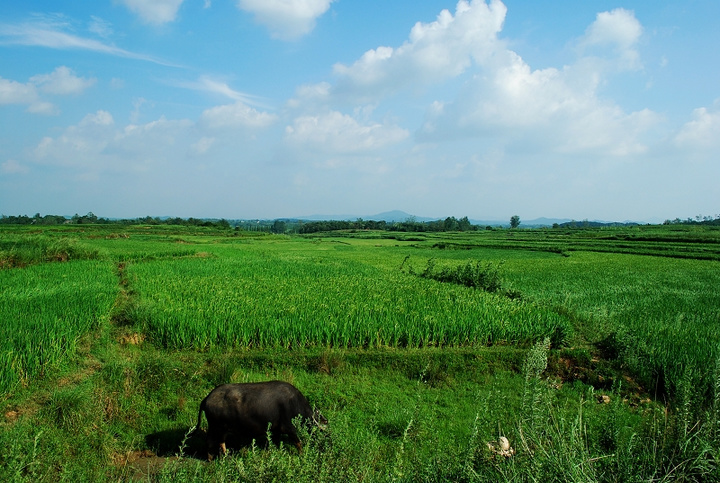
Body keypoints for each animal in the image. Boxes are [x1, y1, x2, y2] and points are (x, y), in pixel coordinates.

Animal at [194, 382, 326, 462]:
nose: (323, 444)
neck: (294, 404)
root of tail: (207, 398)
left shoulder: (276, 430)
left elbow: (276, 442)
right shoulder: (289, 428)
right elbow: (298, 442)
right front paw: (302, 454)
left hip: (222, 429)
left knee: (221, 442)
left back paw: (225, 456)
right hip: (215, 428)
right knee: (210, 442)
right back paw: (210, 459)